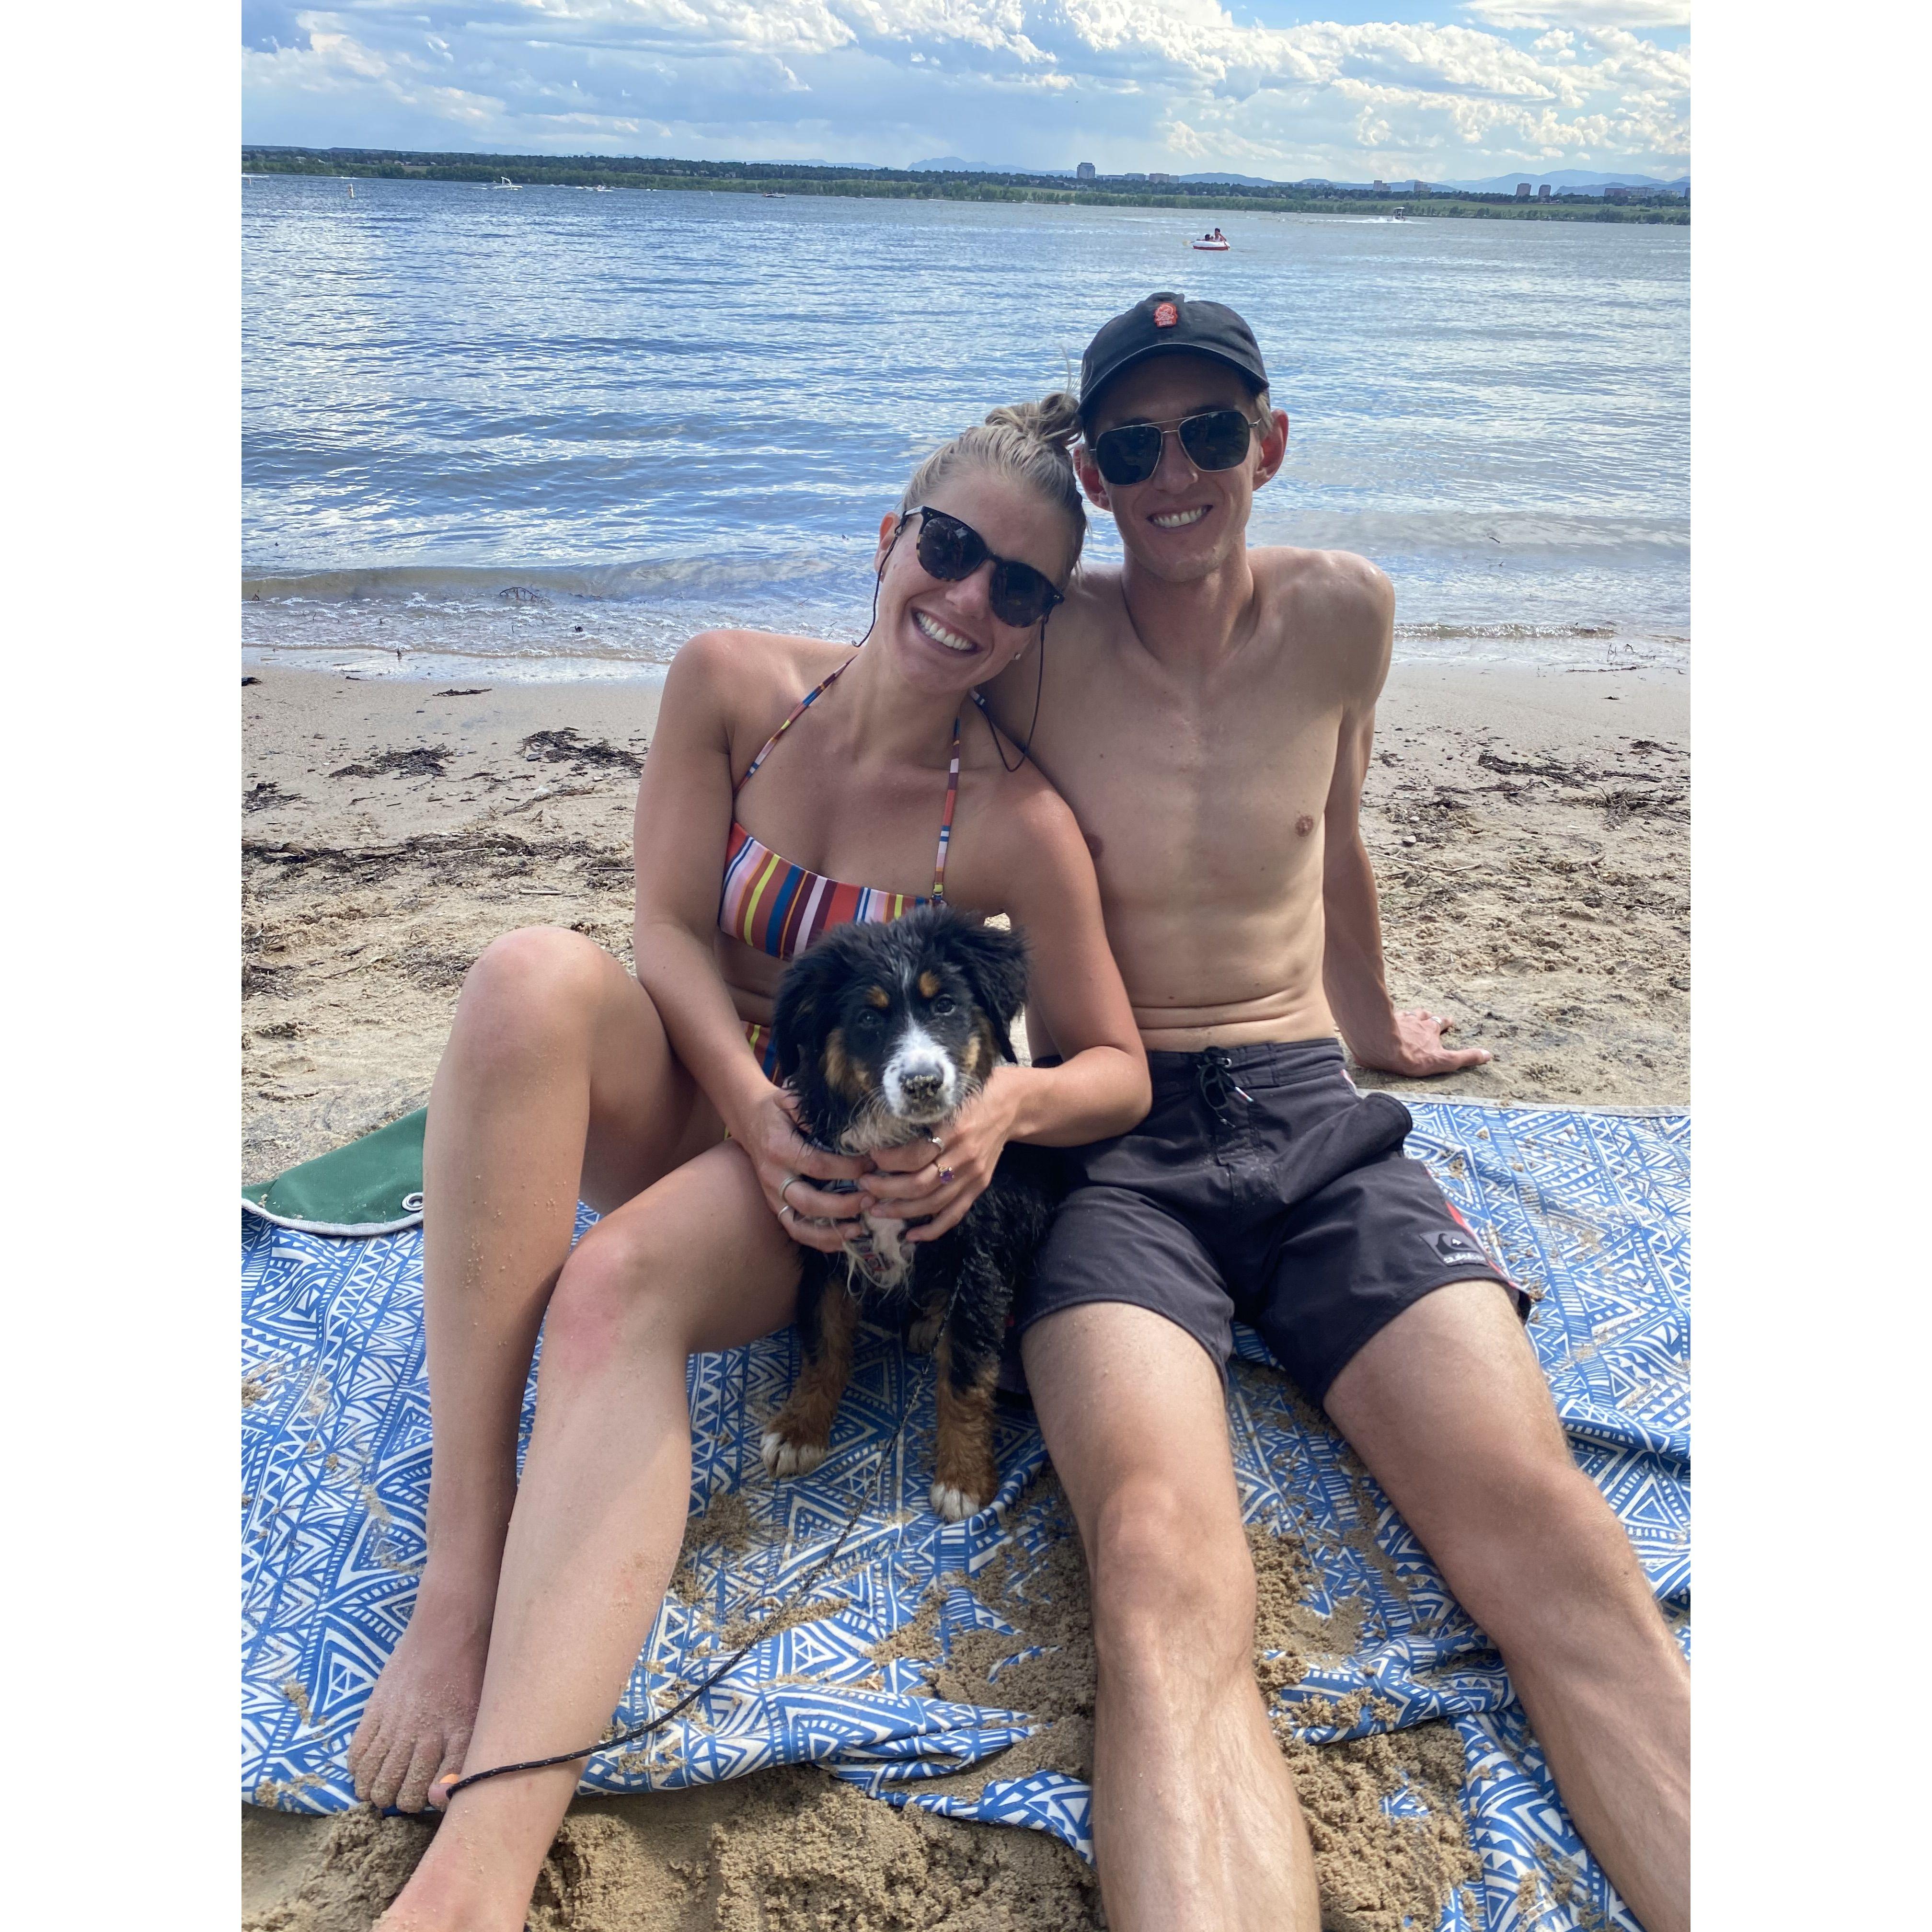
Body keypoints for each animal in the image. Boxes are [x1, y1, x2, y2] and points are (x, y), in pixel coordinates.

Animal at [757, 904, 1061, 1521]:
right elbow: (822, 1343)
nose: (923, 1083)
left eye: (943, 1004)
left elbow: (967, 1371)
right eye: (868, 1019)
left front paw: (963, 1477)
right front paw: (799, 1429)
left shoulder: (978, 1257)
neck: (894, 1143)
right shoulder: (826, 1239)